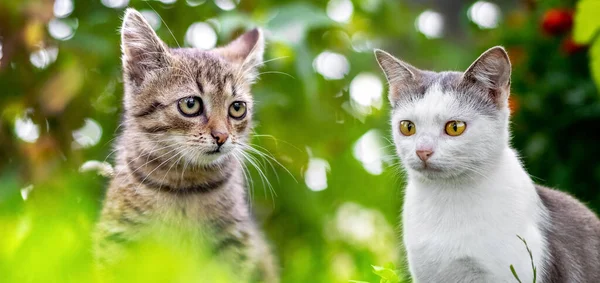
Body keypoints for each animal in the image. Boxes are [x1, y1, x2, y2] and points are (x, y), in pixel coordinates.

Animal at [94, 8, 278, 282]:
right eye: (191, 104)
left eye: (237, 108)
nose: (222, 136)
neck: (184, 185)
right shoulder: (119, 235)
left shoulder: (235, 242)